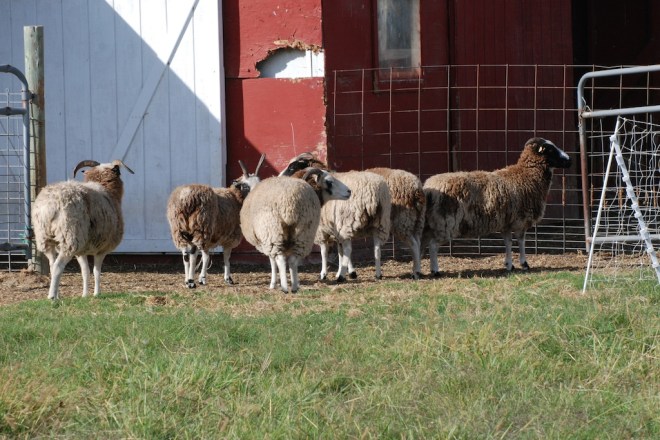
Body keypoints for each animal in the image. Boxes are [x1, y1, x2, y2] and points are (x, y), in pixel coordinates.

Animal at [32, 159, 134, 300]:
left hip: (46, 239)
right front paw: (97, 294)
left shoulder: (82, 250)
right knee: (58, 266)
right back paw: (52, 297)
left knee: (52, 265)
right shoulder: (102, 249)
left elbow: (85, 272)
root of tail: (50, 205)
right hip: (70, 237)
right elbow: (96, 271)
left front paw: (85, 295)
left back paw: (57, 295)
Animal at [166, 154, 265, 288]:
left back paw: (187, 280)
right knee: (192, 254)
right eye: (245, 185)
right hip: (199, 227)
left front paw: (202, 278)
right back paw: (191, 281)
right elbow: (225, 257)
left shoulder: (210, 236)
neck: (235, 198)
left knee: (185, 255)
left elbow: (206, 256)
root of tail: (186, 198)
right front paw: (226, 278)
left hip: (180, 230)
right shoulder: (229, 236)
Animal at [279, 153, 393, 282]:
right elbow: (340, 251)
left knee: (349, 249)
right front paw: (342, 270)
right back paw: (378, 274)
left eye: (292, 168)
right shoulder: (336, 230)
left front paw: (326, 274)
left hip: (348, 222)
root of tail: (374, 192)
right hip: (380, 223)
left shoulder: (322, 230)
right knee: (377, 249)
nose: (279, 177)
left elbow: (324, 251)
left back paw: (342, 277)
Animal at [422, 137, 572, 275]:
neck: (528, 175)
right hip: (445, 222)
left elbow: (508, 243)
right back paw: (435, 270)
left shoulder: (506, 223)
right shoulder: (520, 221)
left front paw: (509, 264)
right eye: (550, 150)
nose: (569, 160)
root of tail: (429, 187)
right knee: (433, 245)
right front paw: (524, 264)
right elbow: (520, 242)